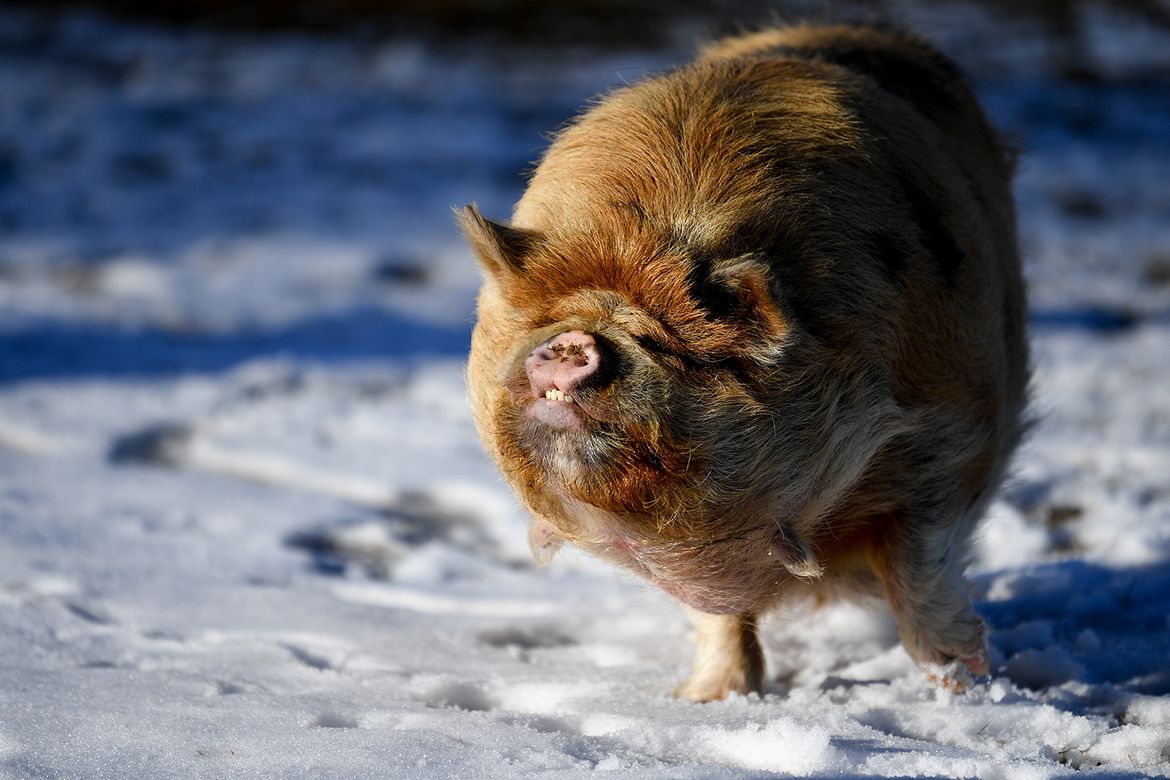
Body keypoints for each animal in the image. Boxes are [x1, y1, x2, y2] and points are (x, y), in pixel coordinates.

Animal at [456, 22, 1024, 701]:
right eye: (545, 321)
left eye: (668, 345)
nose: (571, 342)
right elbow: (715, 614)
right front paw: (709, 699)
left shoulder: (952, 427)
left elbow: (921, 569)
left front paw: (965, 685)